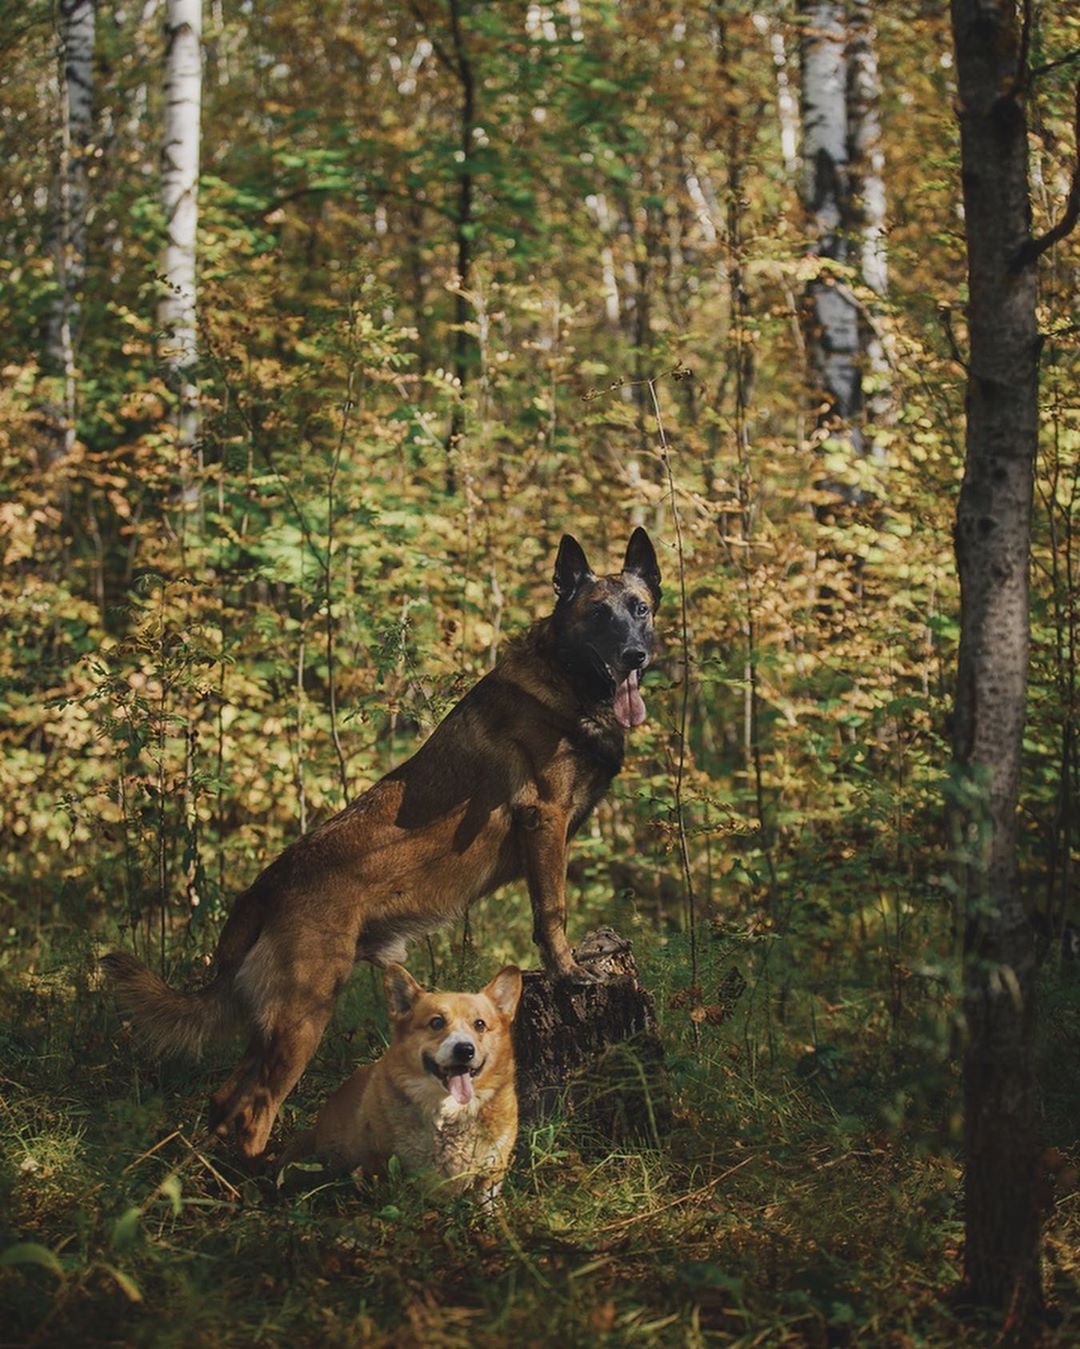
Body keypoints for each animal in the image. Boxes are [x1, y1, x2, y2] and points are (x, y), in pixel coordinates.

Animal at [103, 526, 657, 1160]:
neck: (567, 680)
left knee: (225, 1101)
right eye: (598, 614)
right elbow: (552, 912)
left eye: (639, 609)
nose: (634, 655)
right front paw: (568, 970)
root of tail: (265, 887)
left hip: (275, 1023)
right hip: (305, 1015)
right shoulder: (545, 822)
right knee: (255, 1111)